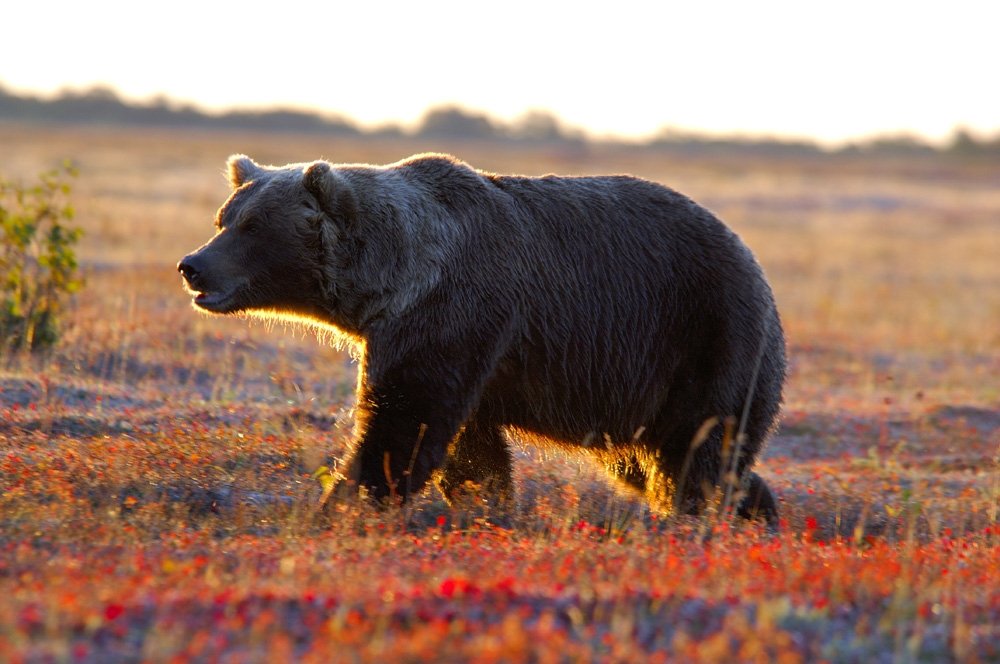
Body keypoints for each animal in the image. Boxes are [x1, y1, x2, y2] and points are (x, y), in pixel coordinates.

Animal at [178, 153, 786, 525]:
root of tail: (756, 266)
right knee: (654, 461)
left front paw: (340, 505)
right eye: (223, 219)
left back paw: (700, 517)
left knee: (694, 453)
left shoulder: (452, 312)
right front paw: (485, 505)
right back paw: (758, 509)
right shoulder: (450, 343)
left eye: (253, 226)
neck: (390, 279)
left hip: (704, 337)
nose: (192, 266)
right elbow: (468, 449)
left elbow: (401, 426)